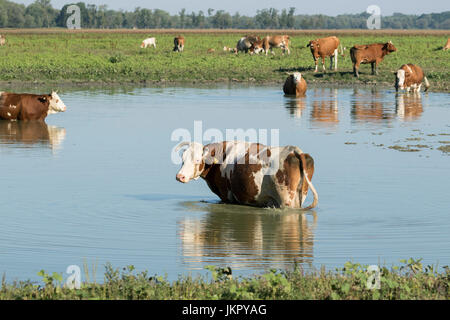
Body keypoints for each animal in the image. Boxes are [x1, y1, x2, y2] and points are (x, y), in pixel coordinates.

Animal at [174, 141, 318, 209]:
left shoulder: (225, 195)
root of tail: (294, 150)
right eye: (183, 158)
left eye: (197, 160)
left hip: (286, 200)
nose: (180, 176)